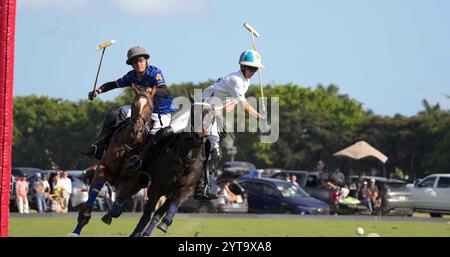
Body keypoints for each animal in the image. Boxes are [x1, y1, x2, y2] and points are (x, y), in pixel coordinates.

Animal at [70, 84, 155, 236]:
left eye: (150, 107)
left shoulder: (134, 179)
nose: (136, 130)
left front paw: (112, 213)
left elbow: (119, 202)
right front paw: (76, 231)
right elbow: (91, 199)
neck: (129, 145)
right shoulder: (103, 168)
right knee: (114, 112)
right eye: (133, 104)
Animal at [128, 100, 216, 236]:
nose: (199, 136)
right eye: (193, 113)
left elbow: (173, 204)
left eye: (211, 117)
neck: (186, 158)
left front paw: (165, 223)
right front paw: (136, 233)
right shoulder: (157, 186)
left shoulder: (185, 188)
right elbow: (147, 214)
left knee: (159, 211)